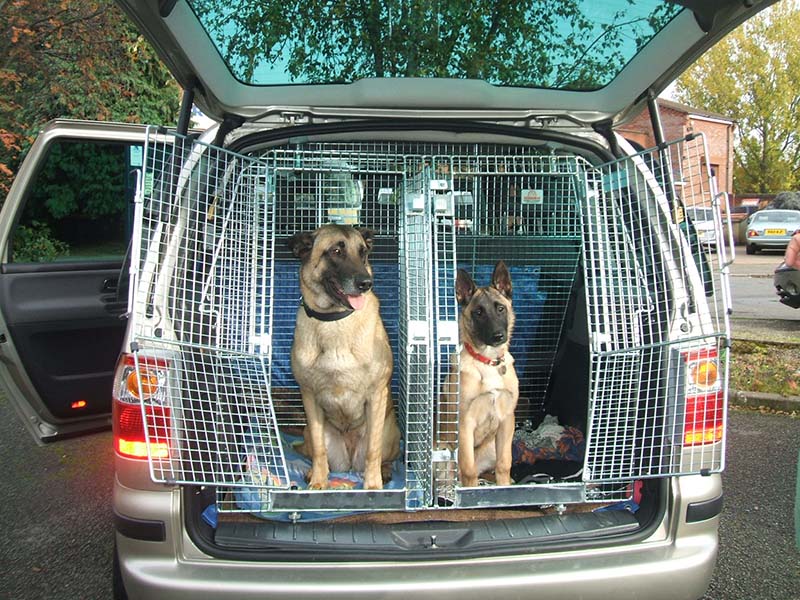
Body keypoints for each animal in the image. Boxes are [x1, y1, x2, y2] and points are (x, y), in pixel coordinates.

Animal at [288, 223, 400, 490]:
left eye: (363, 253)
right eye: (336, 251)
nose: (366, 283)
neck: (334, 320)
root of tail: (349, 465)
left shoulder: (376, 396)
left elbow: (372, 451)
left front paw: (373, 486)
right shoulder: (310, 398)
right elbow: (319, 450)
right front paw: (319, 481)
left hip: (390, 432)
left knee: (384, 454)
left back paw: (385, 471)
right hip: (311, 432)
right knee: (313, 449)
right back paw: (312, 471)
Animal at [450, 262, 520, 488]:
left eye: (500, 308)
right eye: (478, 313)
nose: (498, 336)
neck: (487, 361)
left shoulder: (507, 420)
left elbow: (504, 464)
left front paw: (504, 487)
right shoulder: (465, 424)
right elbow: (469, 470)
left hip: (491, 448)